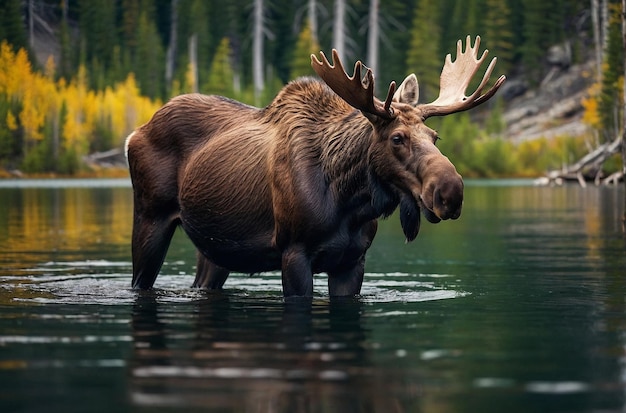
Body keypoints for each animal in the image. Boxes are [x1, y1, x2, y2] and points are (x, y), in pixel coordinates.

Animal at [125, 34, 502, 292]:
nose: (450, 192)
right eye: (397, 138)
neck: (350, 200)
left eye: (435, 136)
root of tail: (134, 134)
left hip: (216, 248)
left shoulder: (352, 261)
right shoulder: (294, 253)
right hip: (150, 218)